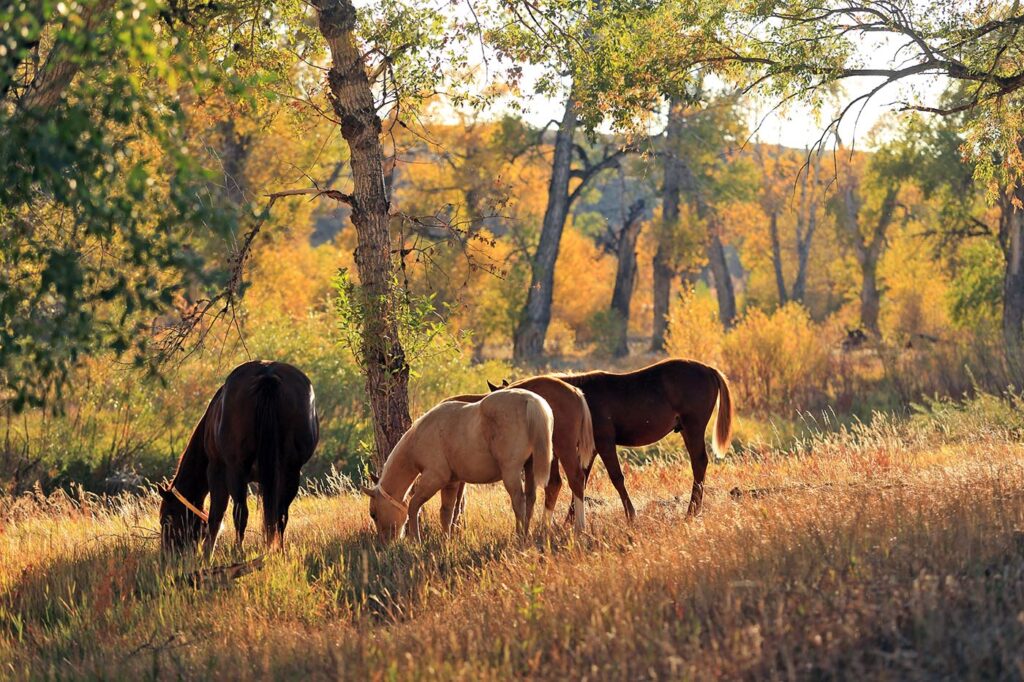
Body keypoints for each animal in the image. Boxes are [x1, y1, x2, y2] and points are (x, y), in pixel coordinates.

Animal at [157, 358, 317, 557]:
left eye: (166, 519)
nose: (167, 556)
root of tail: (268, 374)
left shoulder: (217, 471)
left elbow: (216, 514)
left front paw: (207, 553)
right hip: (291, 471)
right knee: (280, 515)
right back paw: (279, 551)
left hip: (236, 471)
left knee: (241, 513)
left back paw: (238, 552)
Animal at [360, 387, 552, 540]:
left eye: (373, 514)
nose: (385, 543)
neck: (420, 436)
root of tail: (530, 400)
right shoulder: (451, 483)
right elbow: (447, 512)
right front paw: (446, 540)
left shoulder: (434, 479)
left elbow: (414, 506)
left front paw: (416, 540)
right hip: (529, 469)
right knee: (530, 500)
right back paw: (526, 534)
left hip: (511, 472)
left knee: (519, 501)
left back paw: (520, 536)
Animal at [493, 358, 729, 518]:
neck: (580, 397)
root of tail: (708, 370)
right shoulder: (590, 449)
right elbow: (582, 479)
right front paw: (570, 520)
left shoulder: (604, 443)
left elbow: (616, 478)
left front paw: (631, 515)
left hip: (693, 428)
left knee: (699, 463)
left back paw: (691, 511)